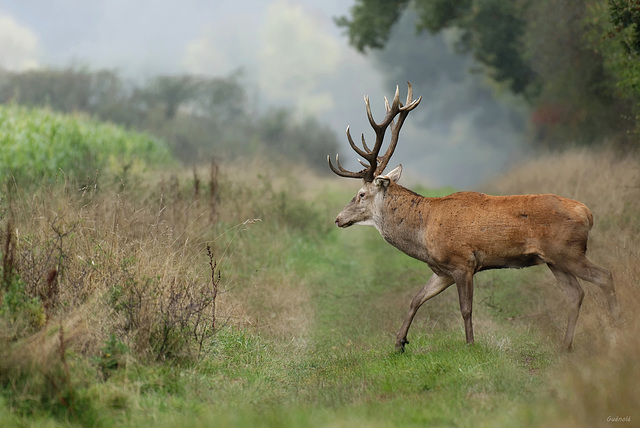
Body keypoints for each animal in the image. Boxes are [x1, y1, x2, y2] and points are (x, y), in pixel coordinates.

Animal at [328, 82, 616, 352]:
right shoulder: (441, 271)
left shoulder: (462, 262)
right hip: (554, 260)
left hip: (567, 251)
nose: (338, 218)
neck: (423, 234)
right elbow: (416, 298)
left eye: (361, 194)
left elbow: (465, 308)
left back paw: (614, 332)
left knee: (605, 277)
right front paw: (399, 343)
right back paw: (566, 345)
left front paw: (470, 345)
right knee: (576, 293)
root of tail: (588, 213)